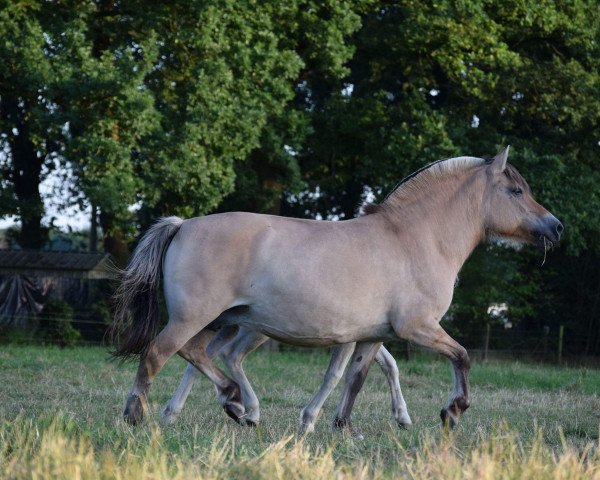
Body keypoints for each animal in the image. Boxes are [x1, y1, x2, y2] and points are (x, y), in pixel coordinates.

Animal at [111, 146, 564, 428]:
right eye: (516, 190)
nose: (556, 227)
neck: (415, 239)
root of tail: (183, 224)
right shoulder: (417, 328)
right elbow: (463, 357)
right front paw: (453, 410)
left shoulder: (372, 335)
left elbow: (355, 379)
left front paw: (342, 426)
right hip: (197, 317)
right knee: (159, 354)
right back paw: (143, 416)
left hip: (218, 321)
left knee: (198, 355)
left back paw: (232, 404)